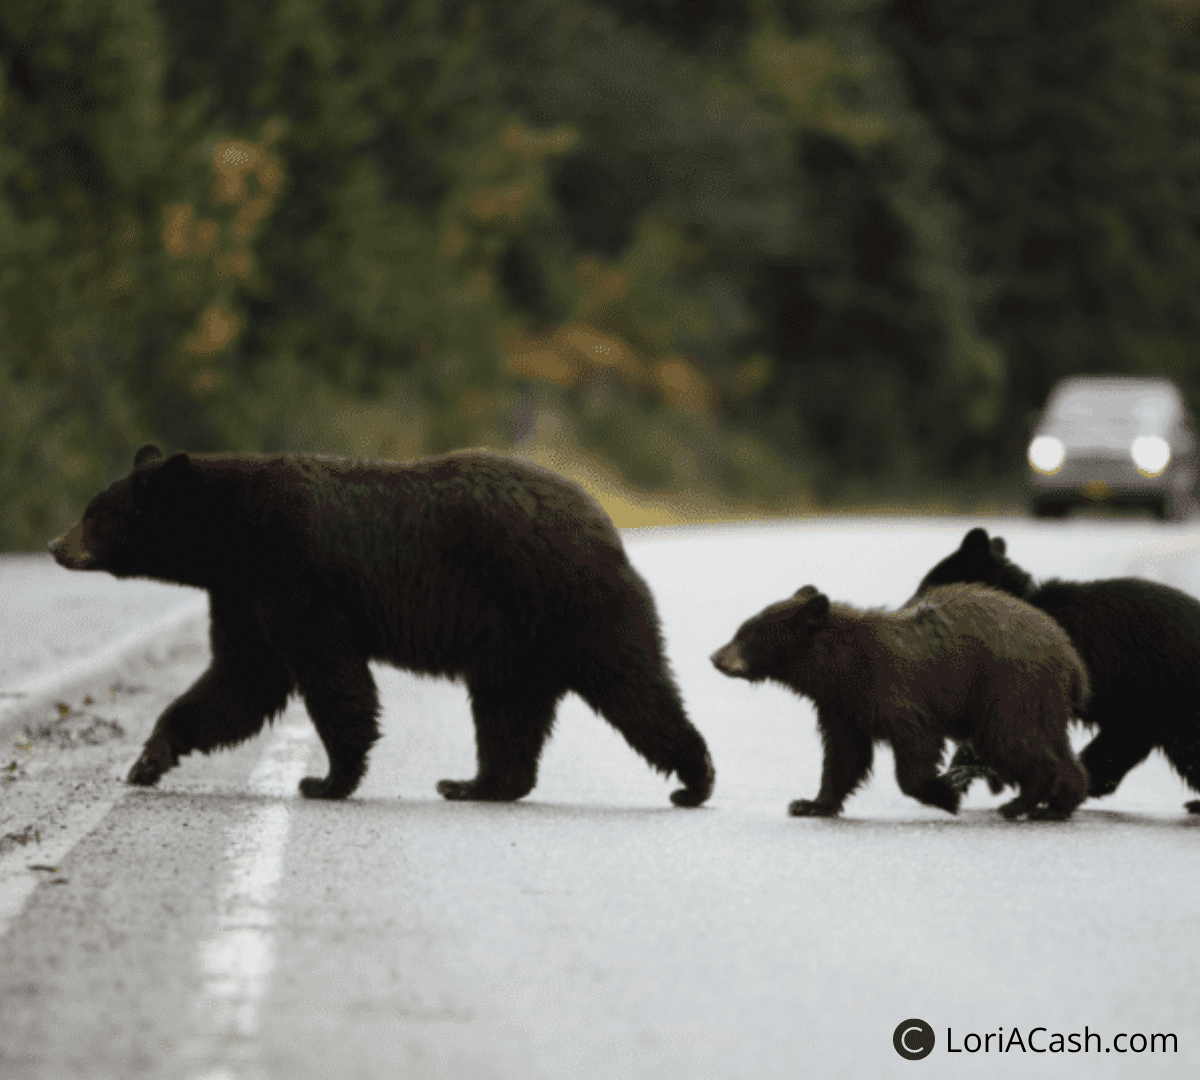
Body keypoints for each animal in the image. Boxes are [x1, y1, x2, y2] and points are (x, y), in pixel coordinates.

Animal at [51, 444, 710, 806]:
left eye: (96, 514)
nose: (57, 544)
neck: (235, 535)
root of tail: (604, 524)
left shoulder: (297, 577)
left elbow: (327, 676)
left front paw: (326, 779)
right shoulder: (241, 593)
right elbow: (242, 678)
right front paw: (149, 759)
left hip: (565, 605)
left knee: (632, 685)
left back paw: (693, 778)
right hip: (515, 642)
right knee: (509, 710)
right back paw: (477, 783)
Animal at [705, 583, 1094, 820]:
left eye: (748, 634)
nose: (715, 657)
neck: (842, 666)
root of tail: (1072, 659)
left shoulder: (891, 687)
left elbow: (914, 743)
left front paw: (945, 794)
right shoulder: (842, 705)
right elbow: (844, 754)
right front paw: (810, 803)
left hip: (1009, 688)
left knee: (1013, 741)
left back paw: (1018, 804)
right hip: (1042, 700)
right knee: (1052, 746)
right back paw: (1058, 804)